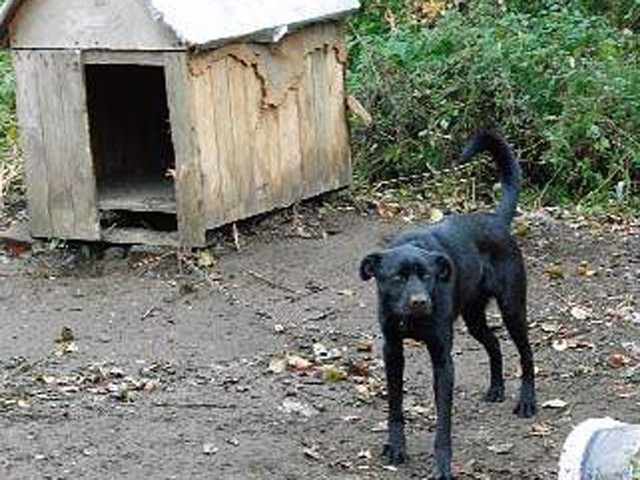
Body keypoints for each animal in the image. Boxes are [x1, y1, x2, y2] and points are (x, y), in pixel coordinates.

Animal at [360, 132, 536, 480]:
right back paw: (496, 388)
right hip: (473, 317)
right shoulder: (392, 350)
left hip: (512, 308)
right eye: (397, 278)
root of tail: (496, 221)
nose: (420, 302)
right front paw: (396, 446)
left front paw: (442, 465)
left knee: (526, 353)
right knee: (494, 344)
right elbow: (395, 405)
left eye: (427, 275)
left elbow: (443, 423)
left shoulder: (442, 358)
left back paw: (527, 402)